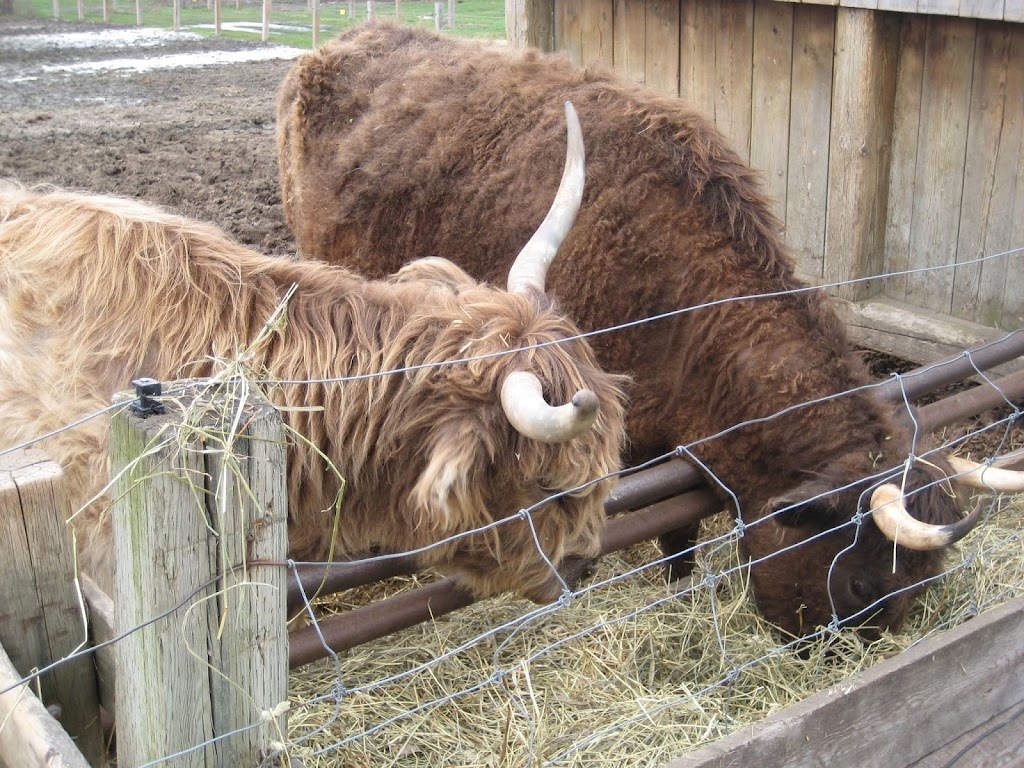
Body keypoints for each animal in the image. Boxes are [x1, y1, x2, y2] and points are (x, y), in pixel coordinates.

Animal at [274, 20, 1024, 638]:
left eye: (918, 590)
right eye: (864, 584)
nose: (830, 655)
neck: (682, 305)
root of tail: (344, 42)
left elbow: (680, 532)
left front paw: (677, 587)